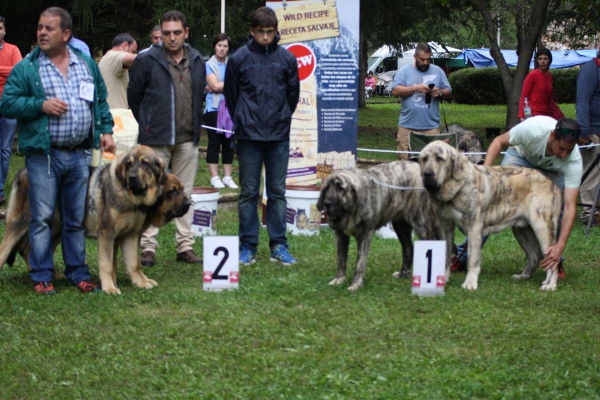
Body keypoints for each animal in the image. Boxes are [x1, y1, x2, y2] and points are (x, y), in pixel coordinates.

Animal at [316, 162, 452, 290]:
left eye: (340, 189)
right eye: (326, 188)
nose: (327, 203)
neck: (349, 211)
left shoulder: (365, 235)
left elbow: (359, 263)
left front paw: (356, 284)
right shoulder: (340, 235)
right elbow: (340, 259)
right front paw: (339, 279)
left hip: (420, 225)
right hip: (400, 226)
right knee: (408, 249)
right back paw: (403, 274)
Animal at [420, 141, 560, 290]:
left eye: (439, 158)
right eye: (424, 159)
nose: (427, 173)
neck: (455, 187)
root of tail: (551, 183)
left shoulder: (474, 228)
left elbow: (472, 259)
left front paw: (470, 283)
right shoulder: (445, 226)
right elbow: (445, 255)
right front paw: (443, 280)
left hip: (542, 227)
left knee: (552, 259)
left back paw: (550, 285)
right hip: (522, 231)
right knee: (535, 256)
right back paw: (524, 276)